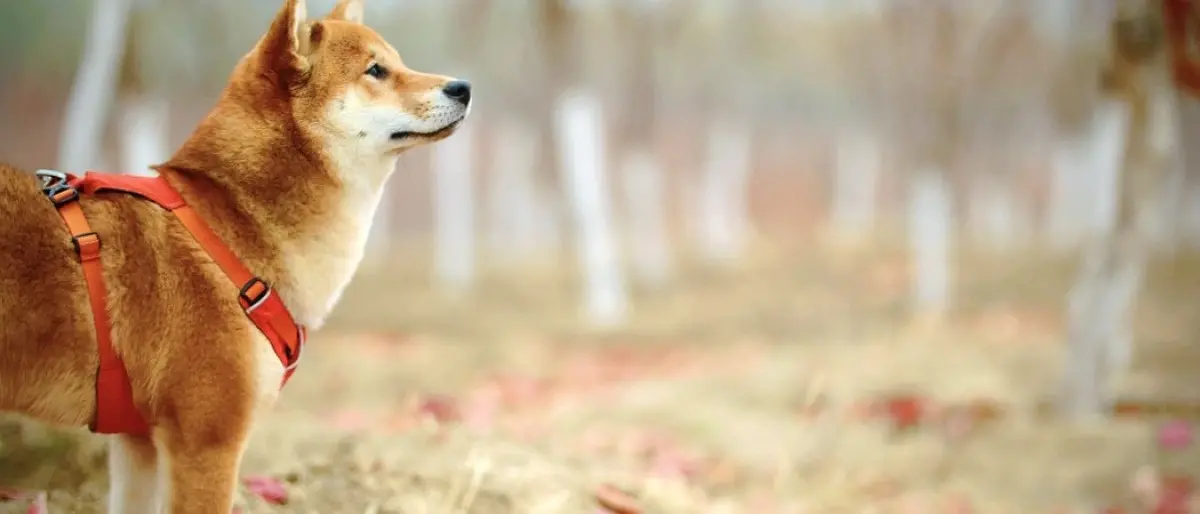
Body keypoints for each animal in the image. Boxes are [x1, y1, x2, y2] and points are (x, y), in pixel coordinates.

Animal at [0, 0, 468, 509]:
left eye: (397, 62)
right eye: (376, 70)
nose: (463, 87)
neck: (230, 221)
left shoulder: (137, 443)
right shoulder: (208, 441)